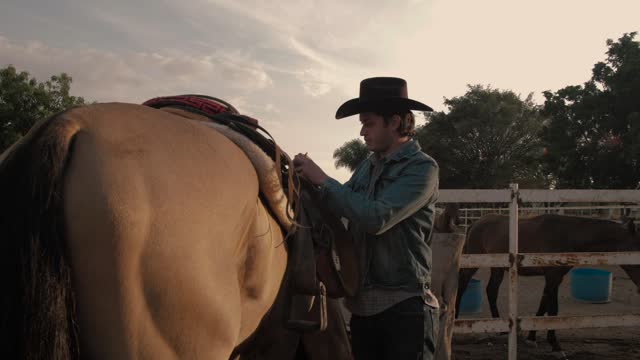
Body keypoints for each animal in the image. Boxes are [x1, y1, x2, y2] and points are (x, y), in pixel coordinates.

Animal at [456, 214, 640, 352]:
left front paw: (531, 337)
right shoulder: (553, 276)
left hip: (498, 267)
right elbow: (553, 309)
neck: (568, 235)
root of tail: (475, 223)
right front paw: (555, 345)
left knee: (491, 291)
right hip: (474, 264)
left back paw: (500, 328)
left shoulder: (554, 278)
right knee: (462, 285)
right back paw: (456, 319)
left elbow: (543, 305)